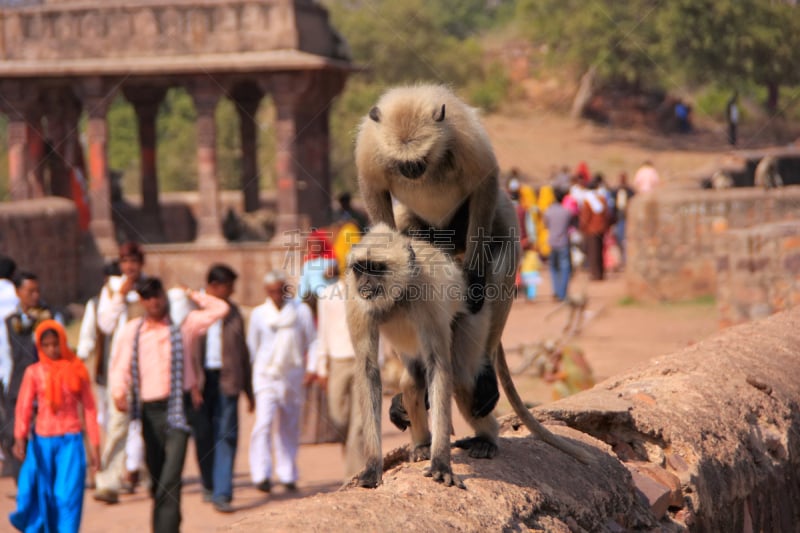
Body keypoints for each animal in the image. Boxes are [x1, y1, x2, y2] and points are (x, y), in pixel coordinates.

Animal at [346, 222, 592, 488]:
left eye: (375, 269)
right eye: (360, 268)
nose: (365, 283)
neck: (397, 298)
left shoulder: (428, 298)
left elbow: (439, 367)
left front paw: (441, 463)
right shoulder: (356, 302)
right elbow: (368, 370)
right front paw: (373, 466)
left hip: (475, 317)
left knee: (461, 377)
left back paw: (487, 438)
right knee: (412, 381)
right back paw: (422, 444)